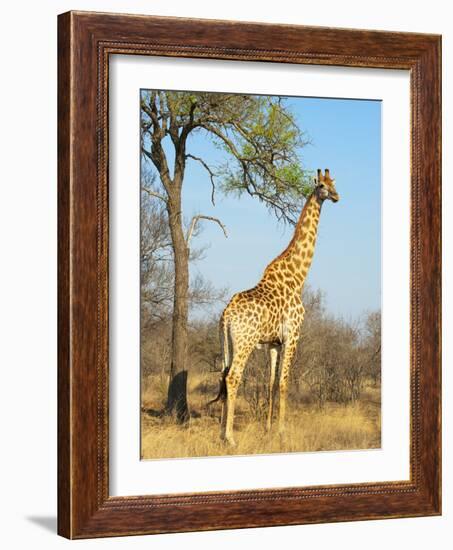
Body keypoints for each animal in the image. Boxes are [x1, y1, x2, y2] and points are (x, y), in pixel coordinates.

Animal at [214, 169, 338, 448]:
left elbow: (270, 382)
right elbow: (283, 382)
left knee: (223, 374)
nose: (337, 197)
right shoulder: (293, 335)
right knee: (233, 377)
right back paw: (230, 438)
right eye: (322, 186)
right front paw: (282, 432)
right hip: (245, 342)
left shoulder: (273, 343)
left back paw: (221, 434)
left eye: (335, 183)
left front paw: (268, 430)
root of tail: (226, 315)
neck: (297, 278)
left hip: (228, 343)